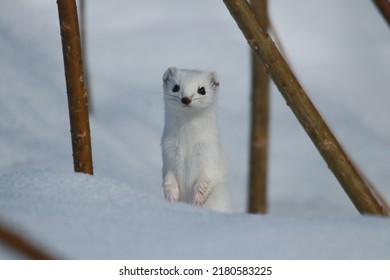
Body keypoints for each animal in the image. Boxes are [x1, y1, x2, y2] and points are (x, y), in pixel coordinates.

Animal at [161, 67, 233, 212]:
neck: (187, 143)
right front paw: (171, 196)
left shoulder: (209, 154)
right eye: (176, 87)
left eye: (202, 89)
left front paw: (197, 200)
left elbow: (205, 182)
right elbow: (168, 180)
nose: (186, 99)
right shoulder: (168, 153)